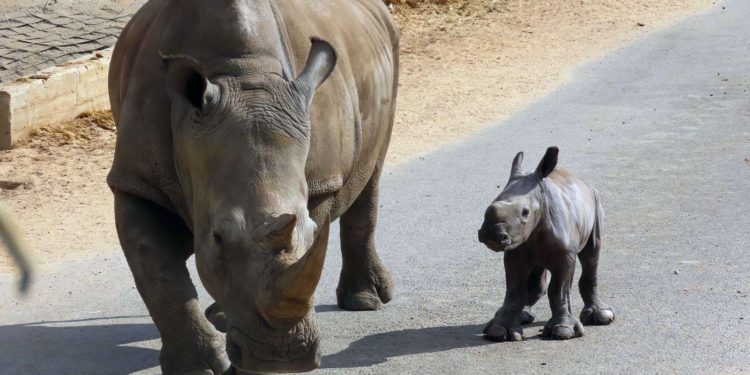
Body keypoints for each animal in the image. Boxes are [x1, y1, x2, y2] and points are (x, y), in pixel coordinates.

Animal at [478, 148, 612, 342]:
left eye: (525, 212)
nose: (492, 235)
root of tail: (581, 181)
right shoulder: (515, 250)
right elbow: (515, 289)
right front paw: (498, 330)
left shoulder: (565, 254)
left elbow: (558, 290)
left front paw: (562, 331)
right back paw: (521, 317)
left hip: (596, 202)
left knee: (592, 255)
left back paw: (603, 316)